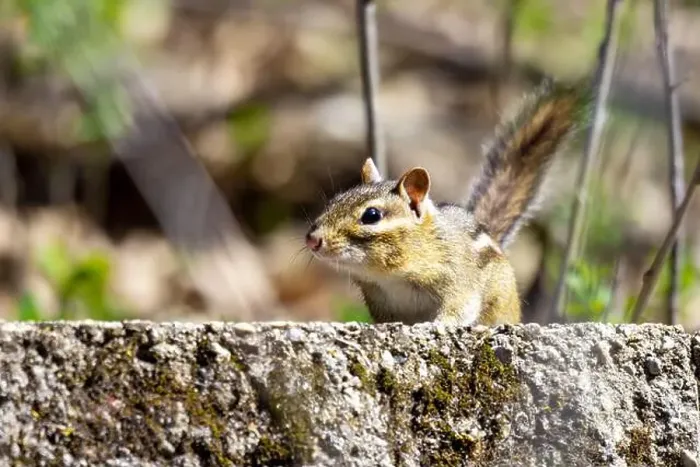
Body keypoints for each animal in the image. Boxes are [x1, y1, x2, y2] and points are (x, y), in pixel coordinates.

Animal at [305, 80, 589, 326]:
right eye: (333, 201)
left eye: (372, 215)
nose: (312, 239)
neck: (392, 276)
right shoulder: (381, 304)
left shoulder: (459, 281)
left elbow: (459, 308)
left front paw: (438, 324)